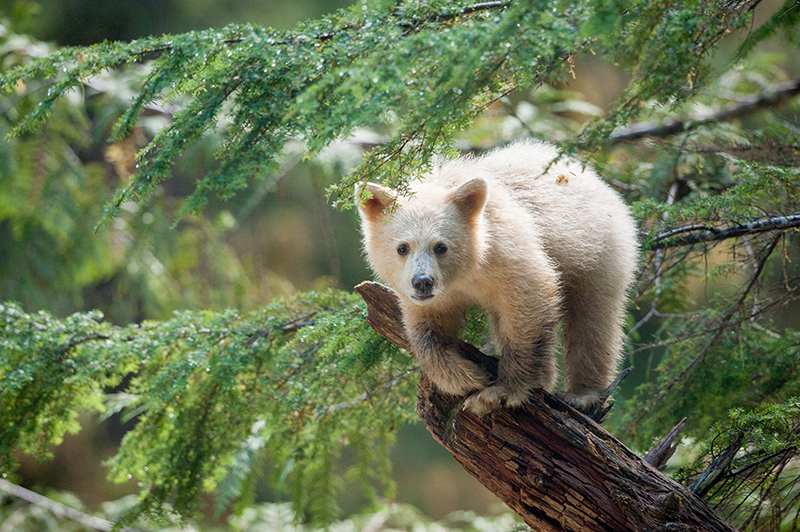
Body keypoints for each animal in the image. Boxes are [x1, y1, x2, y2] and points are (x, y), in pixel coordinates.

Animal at [358, 141, 638, 416]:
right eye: (402, 247)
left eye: (441, 246)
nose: (423, 282)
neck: (467, 274)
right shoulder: (431, 298)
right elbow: (427, 331)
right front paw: (466, 377)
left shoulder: (507, 252)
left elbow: (530, 301)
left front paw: (500, 392)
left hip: (598, 251)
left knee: (593, 319)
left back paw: (582, 395)